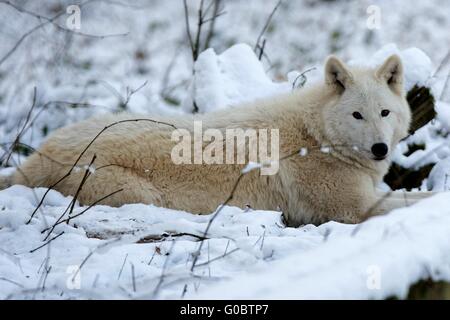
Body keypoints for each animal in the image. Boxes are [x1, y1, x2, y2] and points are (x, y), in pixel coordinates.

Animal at [0, 54, 436, 225]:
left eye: (384, 113)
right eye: (357, 115)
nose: (380, 148)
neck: (317, 135)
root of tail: (33, 160)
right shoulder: (353, 209)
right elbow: (415, 200)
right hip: (140, 194)